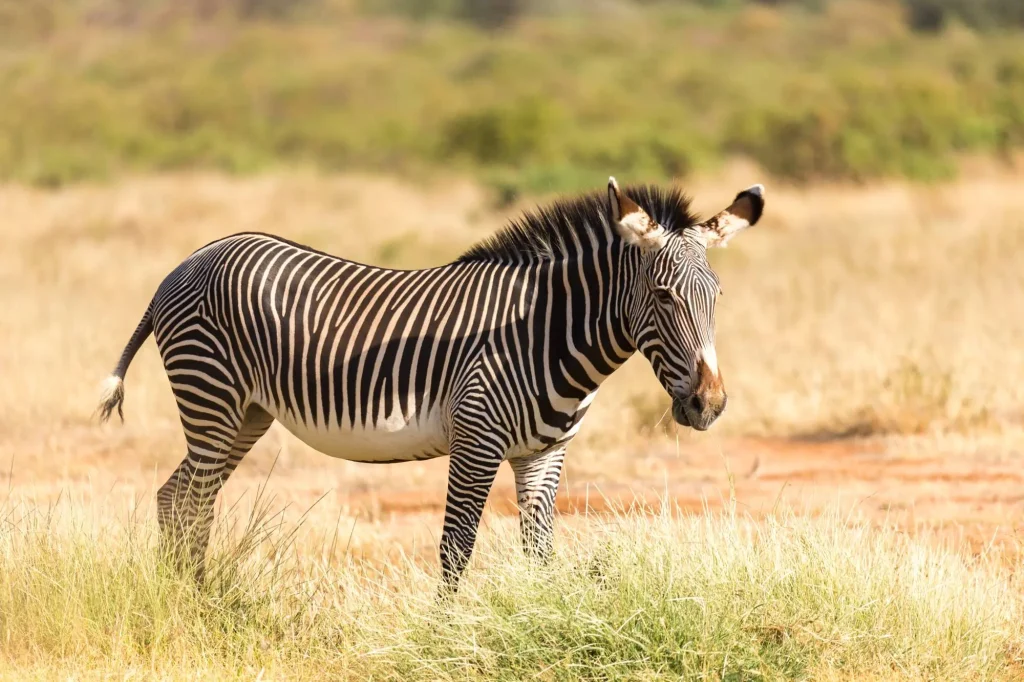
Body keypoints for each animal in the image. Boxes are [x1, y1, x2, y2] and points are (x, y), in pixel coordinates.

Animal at [97, 177, 764, 592]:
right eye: (664, 295)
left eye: (717, 296)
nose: (709, 405)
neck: (544, 331)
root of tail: (187, 262)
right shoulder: (477, 440)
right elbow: (456, 548)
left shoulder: (545, 453)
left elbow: (540, 553)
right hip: (211, 397)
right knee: (191, 501)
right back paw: (192, 604)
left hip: (245, 414)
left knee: (178, 497)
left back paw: (190, 598)